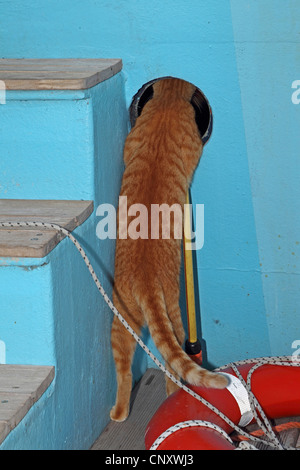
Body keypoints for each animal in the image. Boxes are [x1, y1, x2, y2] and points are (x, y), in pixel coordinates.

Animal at [110, 77, 227, 422]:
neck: (167, 107)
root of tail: (146, 280)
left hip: (123, 322)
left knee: (126, 370)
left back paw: (120, 412)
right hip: (169, 317)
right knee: (172, 368)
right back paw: (172, 398)